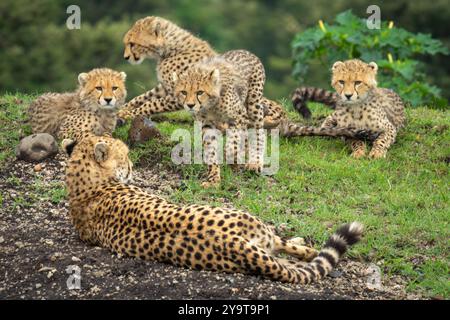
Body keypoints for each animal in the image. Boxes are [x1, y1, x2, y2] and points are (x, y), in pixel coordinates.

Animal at [64, 134, 366, 284]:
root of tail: (232, 243)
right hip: (250, 222)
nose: (132, 167)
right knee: (288, 249)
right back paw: (304, 245)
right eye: (125, 157)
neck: (86, 184)